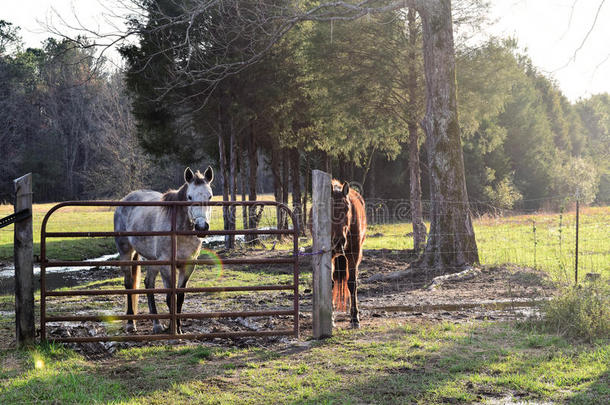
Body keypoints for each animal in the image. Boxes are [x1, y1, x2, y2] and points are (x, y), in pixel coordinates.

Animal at [114, 166, 214, 332]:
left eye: (210, 197)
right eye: (189, 197)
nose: (201, 227)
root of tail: (125, 199)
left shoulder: (188, 265)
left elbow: (179, 298)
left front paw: (178, 329)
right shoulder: (167, 266)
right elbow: (169, 298)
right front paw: (173, 329)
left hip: (152, 260)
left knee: (149, 284)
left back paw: (156, 324)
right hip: (126, 253)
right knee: (129, 284)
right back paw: (130, 324)